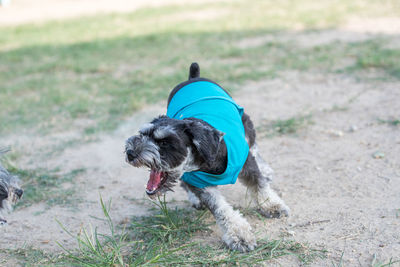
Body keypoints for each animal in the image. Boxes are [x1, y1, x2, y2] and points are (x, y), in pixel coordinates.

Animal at [123, 63, 290, 253]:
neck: (208, 158)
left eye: (165, 142)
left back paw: (266, 170)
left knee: (254, 146)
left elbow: (259, 185)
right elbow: (220, 208)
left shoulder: (247, 165)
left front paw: (272, 206)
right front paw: (239, 235)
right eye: (142, 135)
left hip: (246, 122)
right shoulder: (200, 184)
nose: (130, 153)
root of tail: (194, 77)